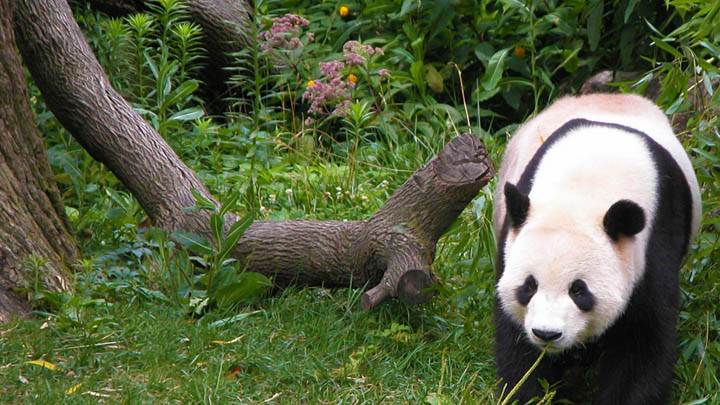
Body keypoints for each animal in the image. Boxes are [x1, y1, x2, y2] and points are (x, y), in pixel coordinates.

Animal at [492, 93, 701, 404]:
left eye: (579, 290)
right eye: (529, 286)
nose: (547, 333)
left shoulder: (656, 238)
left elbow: (642, 342)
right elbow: (517, 343)